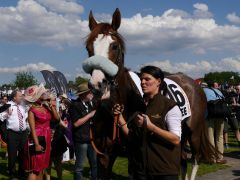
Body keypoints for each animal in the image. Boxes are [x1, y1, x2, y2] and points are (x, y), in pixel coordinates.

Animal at [81, 8, 218, 180]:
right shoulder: (104, 155)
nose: (98, 84)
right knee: (182, 160)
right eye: (88, 47)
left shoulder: (135, 154)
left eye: (114, 46)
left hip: (194, 132)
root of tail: (195, 84)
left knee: (195, 159)